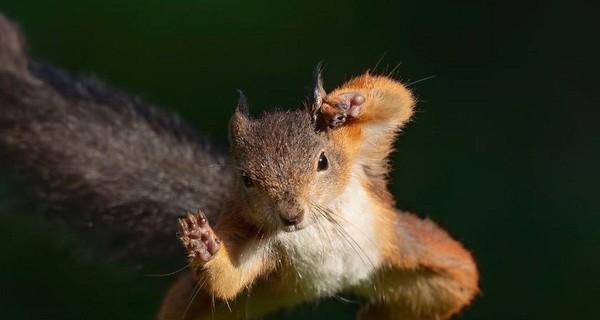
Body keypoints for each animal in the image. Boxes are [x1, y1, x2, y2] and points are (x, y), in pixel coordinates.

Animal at [0, 13, 478, 320]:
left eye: (323, 161)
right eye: (246, 179)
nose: (290, 216)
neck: (314, 224)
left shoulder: (361, 153)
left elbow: (397, 99)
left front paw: (344, 103)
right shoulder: (255, 241)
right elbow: (230, 278)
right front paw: (204, 246)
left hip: (420, 257)